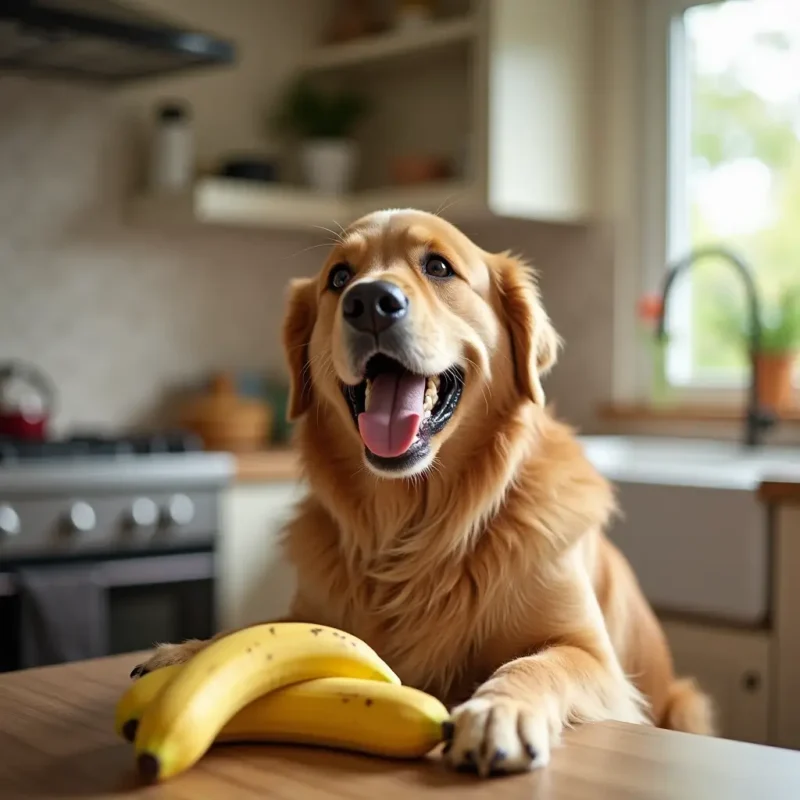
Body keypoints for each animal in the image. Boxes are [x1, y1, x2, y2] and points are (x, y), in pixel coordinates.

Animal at [134, 209, 716, 780]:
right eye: (338, 278)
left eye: (438, 266)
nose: (370, 301)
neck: (414, 528)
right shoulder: (314, 611)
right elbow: (259, 628)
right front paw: (189, 653)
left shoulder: (592, 655)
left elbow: (535, 663)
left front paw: (498, 710)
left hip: (689, 704)